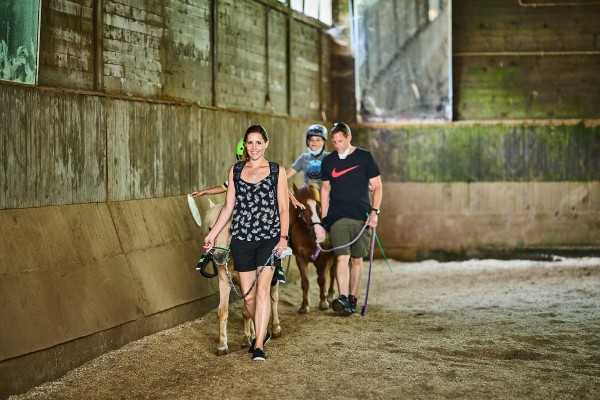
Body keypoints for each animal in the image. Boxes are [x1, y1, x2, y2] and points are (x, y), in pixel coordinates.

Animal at [289, 183, 336, 314]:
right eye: (301, 208)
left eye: (319, 206)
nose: (320, 234)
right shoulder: (300, 258)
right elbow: (305, 282)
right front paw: (304, 306)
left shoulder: (323, 257)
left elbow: (322, 279)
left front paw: (323, 303)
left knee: (333, 273)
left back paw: (330, 296)